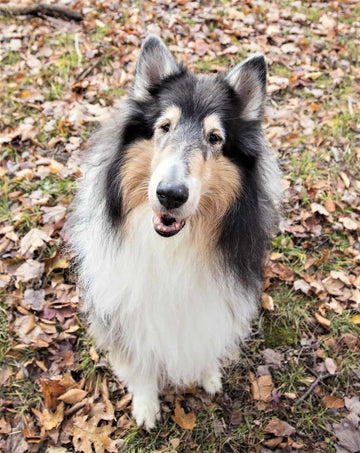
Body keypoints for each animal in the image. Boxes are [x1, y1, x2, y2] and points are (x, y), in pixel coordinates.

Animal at [69, 34, 282, 428]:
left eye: (214, 138)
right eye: (165, 127)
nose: (170, 195)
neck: (173, 247)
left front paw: (208, 373)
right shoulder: (126, 310)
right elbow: (140, 362)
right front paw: (146, 405)